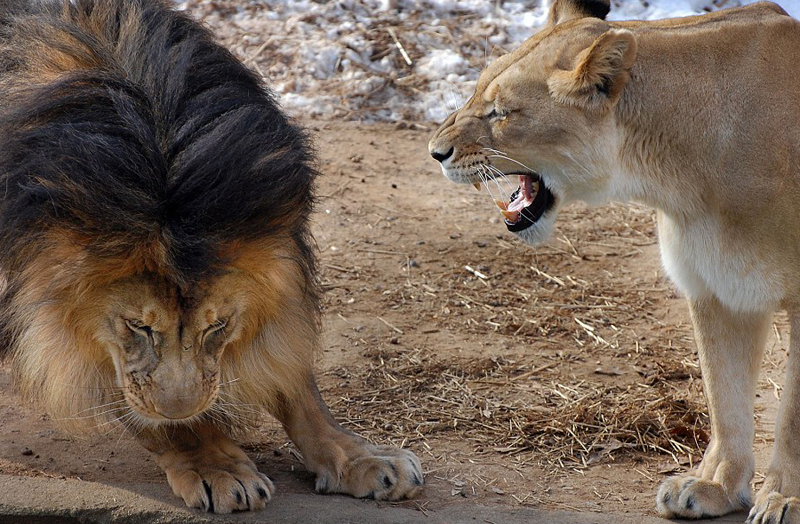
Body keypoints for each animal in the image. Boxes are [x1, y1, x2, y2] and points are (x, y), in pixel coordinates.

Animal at [0, 0, 424, 512]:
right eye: (137, 325)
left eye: (218, 325)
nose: (182, 410)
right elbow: (153, 413)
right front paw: (216, 466)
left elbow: (298, 384)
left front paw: (360, 457)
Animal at [432, 0, 800, 520]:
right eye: (477, 90)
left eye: (502, 112)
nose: (435, 152)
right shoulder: (717, 288)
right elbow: (723, 396)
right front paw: (717, 487)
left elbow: (791, 416)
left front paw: (785, 498)